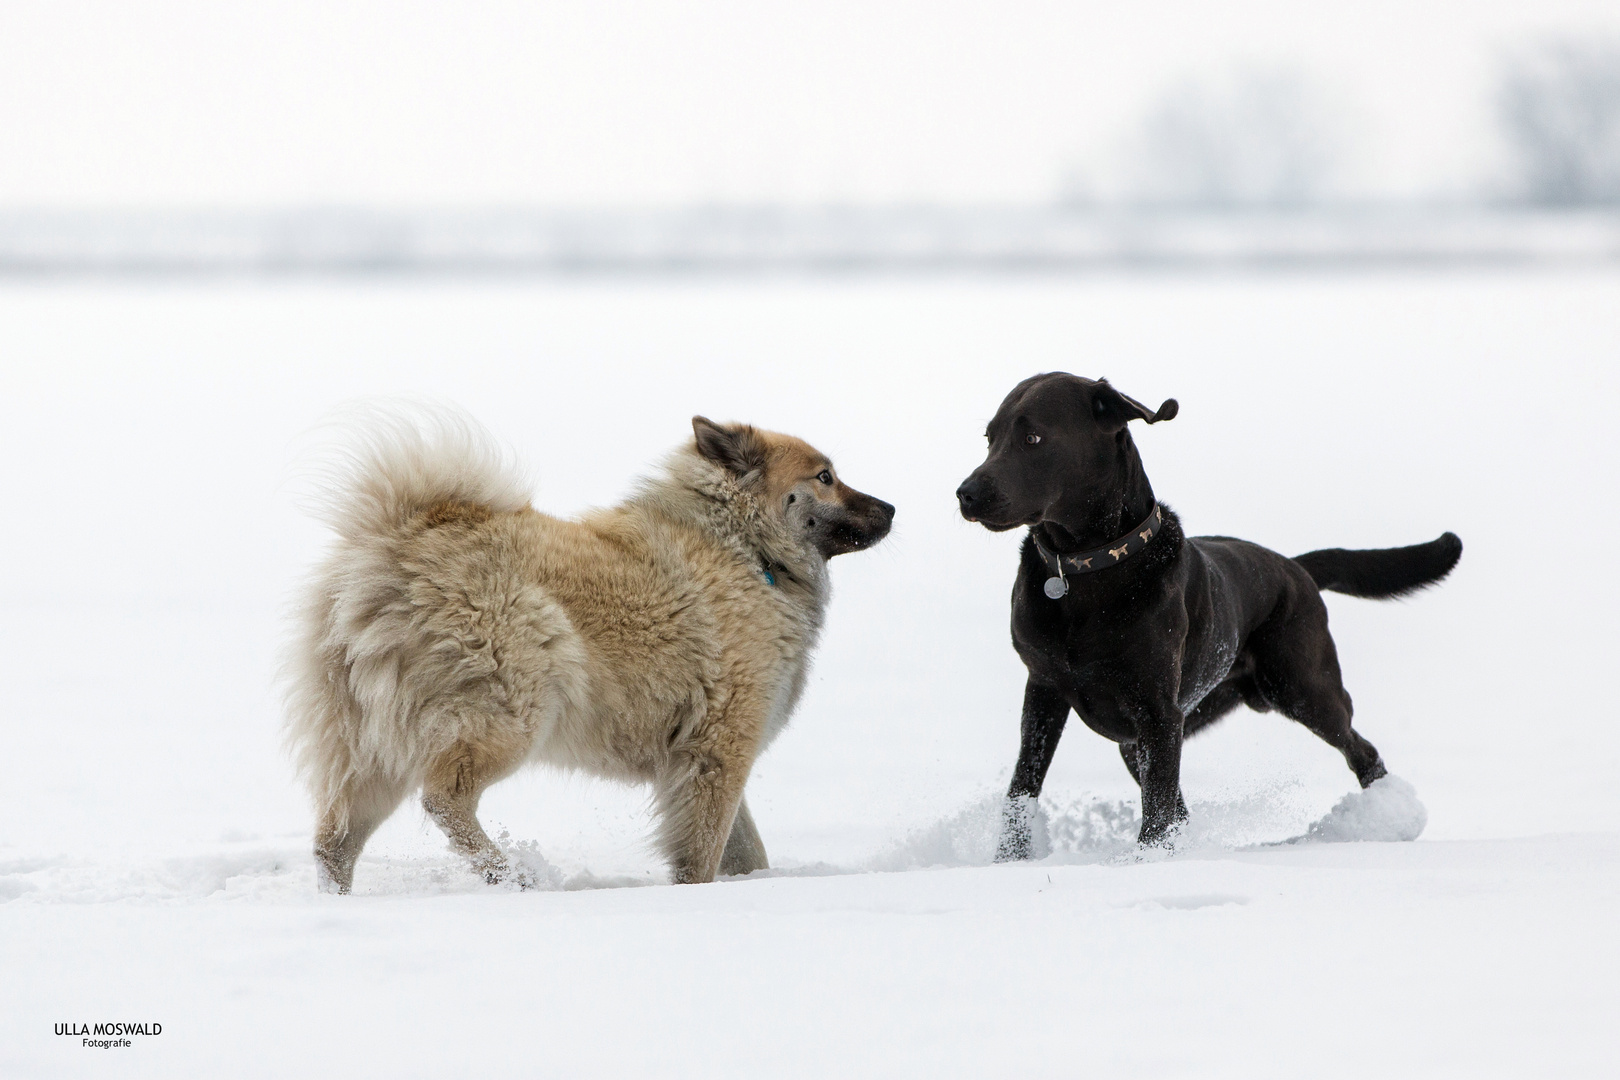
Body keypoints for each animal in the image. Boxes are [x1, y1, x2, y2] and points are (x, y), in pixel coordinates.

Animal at [285, 409, 894, 893]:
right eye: (825, 477)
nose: (890, 509)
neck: (745, 549)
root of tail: (395, 549)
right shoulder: (719, 752)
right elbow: (703, 851)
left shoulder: (705, 759)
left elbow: (745, 850)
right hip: (513, 714)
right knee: (443, 799)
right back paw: (510, 875)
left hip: (374, 749)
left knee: (334, 841)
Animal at [952, 372, 1464, 854]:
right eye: (990, 437)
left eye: (1032, 437)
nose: (965, 494)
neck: (1084, 568)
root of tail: (1293, 566)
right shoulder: (1045, 691)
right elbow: (1024, 787)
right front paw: (1009, 862)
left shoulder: (1157, 712)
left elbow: (1157, 808)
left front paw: (1146, 864)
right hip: (1147, 735)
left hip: (1302, 687)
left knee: (1361, 749)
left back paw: (1388, 819)